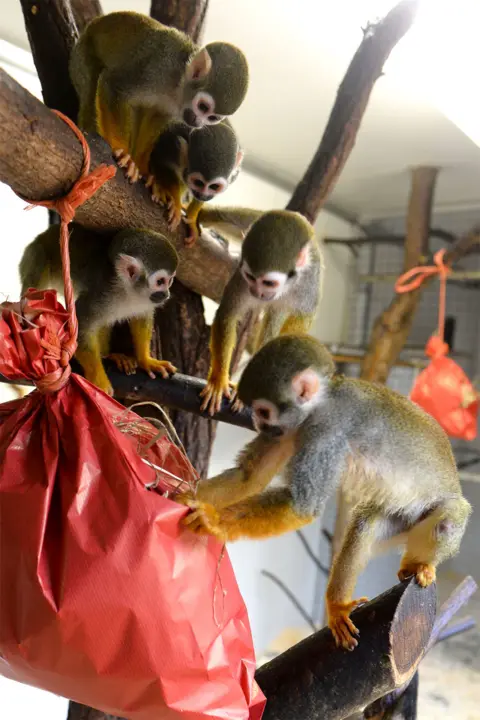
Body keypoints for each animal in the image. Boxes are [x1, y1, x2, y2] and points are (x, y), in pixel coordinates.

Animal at [19, 224, 178, 396]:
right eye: (160, 282)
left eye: (170, 281)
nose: (166, 294)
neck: (127, 290)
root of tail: (45, 233)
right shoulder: (99, 294)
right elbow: (79, 328)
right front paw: (98, 381)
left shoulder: (144, 301)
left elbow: (141, 318)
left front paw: (146, 360)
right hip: (36, 253)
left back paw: (110, 355)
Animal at [69, 11, 249, 182]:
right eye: (203, 107)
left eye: (213, 118)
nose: (197, 123)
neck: (178, 83)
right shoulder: (157, 66)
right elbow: (113, 85)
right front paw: (120, 149)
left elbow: (157, 117)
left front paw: (140, 166)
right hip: (82, 54)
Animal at [178, 334, 471, 651]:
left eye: (264, 411)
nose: (259, 424)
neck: (316, 408)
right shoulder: (291, 431)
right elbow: (249, 478)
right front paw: (183, 497)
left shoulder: (325, 432)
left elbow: (302, 505)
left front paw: (214, 522)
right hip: (402, 520)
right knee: (366, 524)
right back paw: (341, 603)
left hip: (444, 512)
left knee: (447, 520)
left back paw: (421, 564)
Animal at [199, 210, 322, 416]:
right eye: (251, 277)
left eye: (268, 283)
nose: (257, 293)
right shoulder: (242, 278)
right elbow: (228, 314)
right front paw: (218, 380)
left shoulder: (308, 285)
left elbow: (301, 319)